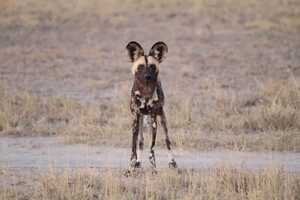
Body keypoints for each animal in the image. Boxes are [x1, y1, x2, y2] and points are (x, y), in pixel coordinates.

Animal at [125, 40, 177, 170]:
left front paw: (154, 169)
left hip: (162, 119)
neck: (146, 93)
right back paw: (138, 163)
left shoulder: (154, 121)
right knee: (141, 141)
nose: (147, 76)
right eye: (141, 66)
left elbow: (152, 149)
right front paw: (131, 167)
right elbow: (134, 148)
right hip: (141, 120)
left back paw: (173, 162)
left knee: (167, 140)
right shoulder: (135, 119)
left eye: (152, 66)